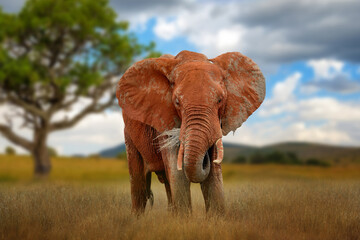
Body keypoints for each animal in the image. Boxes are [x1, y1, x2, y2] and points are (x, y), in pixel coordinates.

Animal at [116, 50, 266, 214]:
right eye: (177, 102)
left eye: (220, 100)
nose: (205, 159)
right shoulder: (164, 119)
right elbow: (177, 171)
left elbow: (213, 174)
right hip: (129, 134)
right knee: (139, 183)